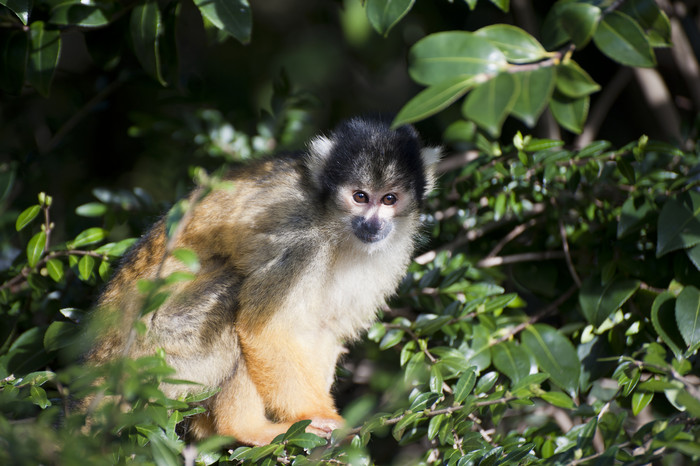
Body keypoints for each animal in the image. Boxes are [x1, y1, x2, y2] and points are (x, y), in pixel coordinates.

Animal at [86, 116, 438, 444]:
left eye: (389, 199)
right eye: (360, 197)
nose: (372, 224)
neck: (333, 221)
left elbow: (324, 328)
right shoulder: (300, 239)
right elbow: (263, 329)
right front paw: (317, 414)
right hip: (159, 357)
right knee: (233, 294)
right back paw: (244, 428)